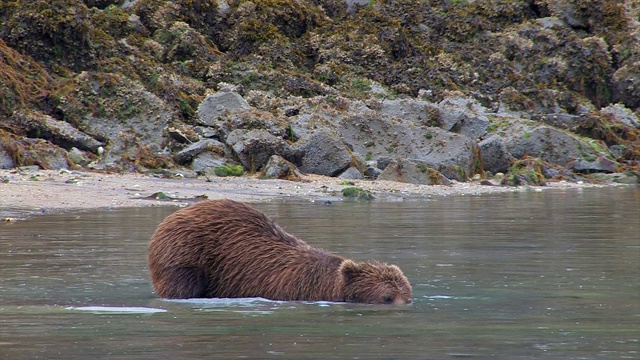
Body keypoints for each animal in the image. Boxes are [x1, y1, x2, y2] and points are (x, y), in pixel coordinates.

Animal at [148, 200, 412, 304]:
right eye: (387, 297)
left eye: (407, 296)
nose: (402, 305)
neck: (328, 285)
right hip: (188, 253)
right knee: (182, 283)